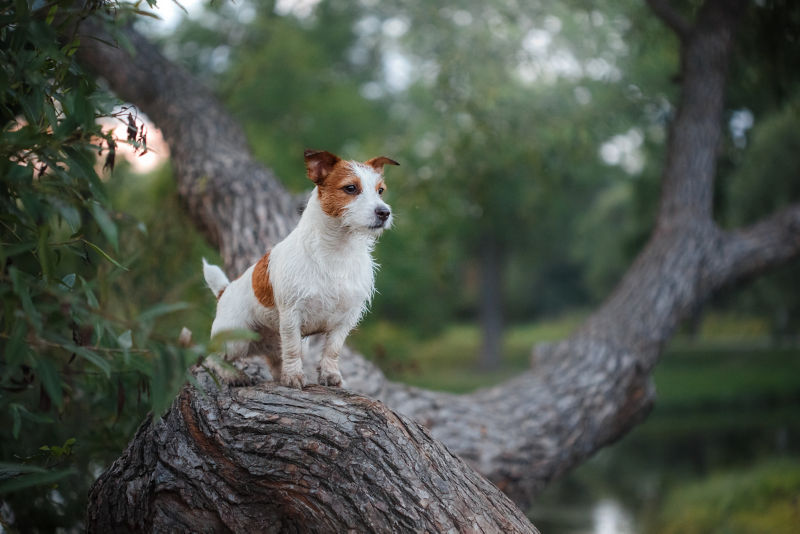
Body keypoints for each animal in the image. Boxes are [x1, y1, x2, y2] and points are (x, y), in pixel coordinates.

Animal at [202, 151, 398, 390]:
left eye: (380, 191)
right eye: (351, 188)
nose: (384, 212)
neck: (338, 250)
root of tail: (224, 290)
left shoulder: (346, 318)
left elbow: (332, 350)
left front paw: (330, 375)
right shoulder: (291, 314)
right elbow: (293, 348)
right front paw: (294, 377)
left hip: (270, 342)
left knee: (275, 361)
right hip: (236, 339)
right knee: (212, 358)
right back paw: (233, 375)